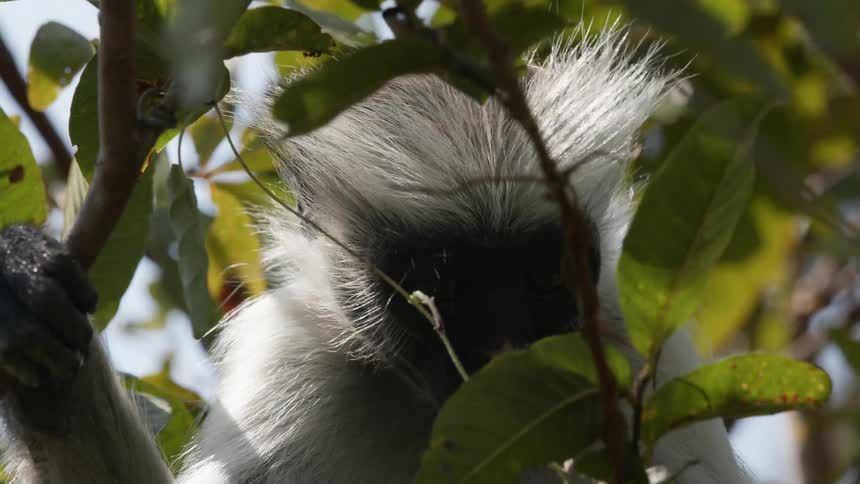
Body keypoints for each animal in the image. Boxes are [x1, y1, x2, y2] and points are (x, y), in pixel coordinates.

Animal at [0, 29, 749, 483]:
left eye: (547, 277)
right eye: (435, 281)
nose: (503, 354)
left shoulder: (634, 358)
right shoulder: (295, 360)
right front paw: (24, 296)